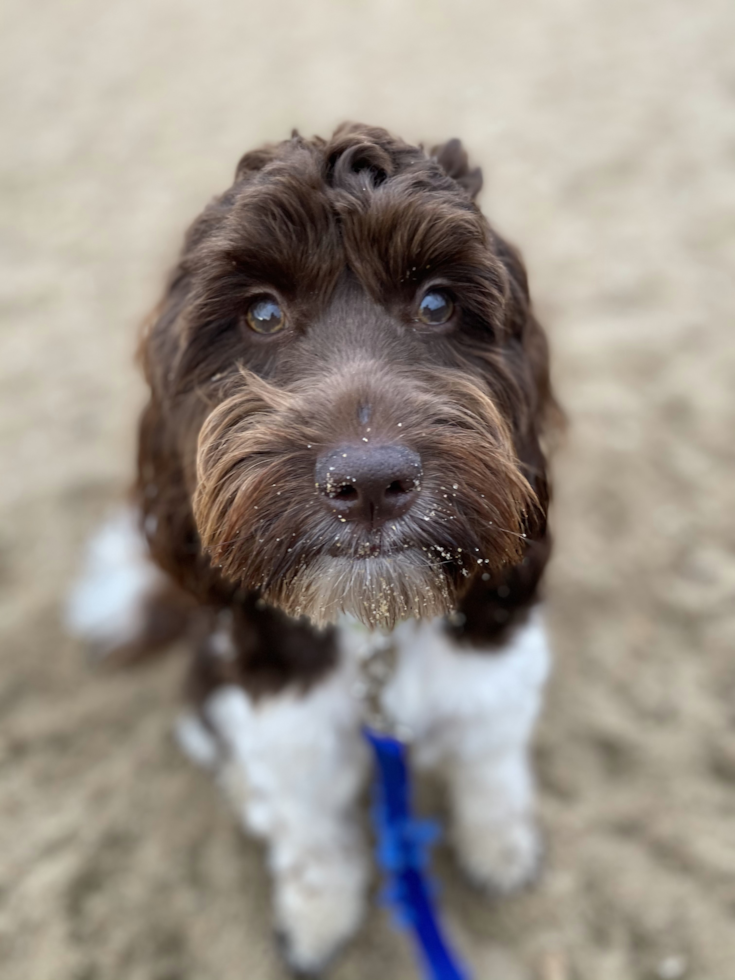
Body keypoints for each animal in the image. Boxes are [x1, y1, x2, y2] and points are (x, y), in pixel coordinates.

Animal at [69, 120, 556, 972]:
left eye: (437, 302)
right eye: (261, 314)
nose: (370, 481)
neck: (375, 637)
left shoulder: (495, 682)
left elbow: (491, 774)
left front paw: (499, 848)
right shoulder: (284, 721)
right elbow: (308, 837)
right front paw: (318, 915)